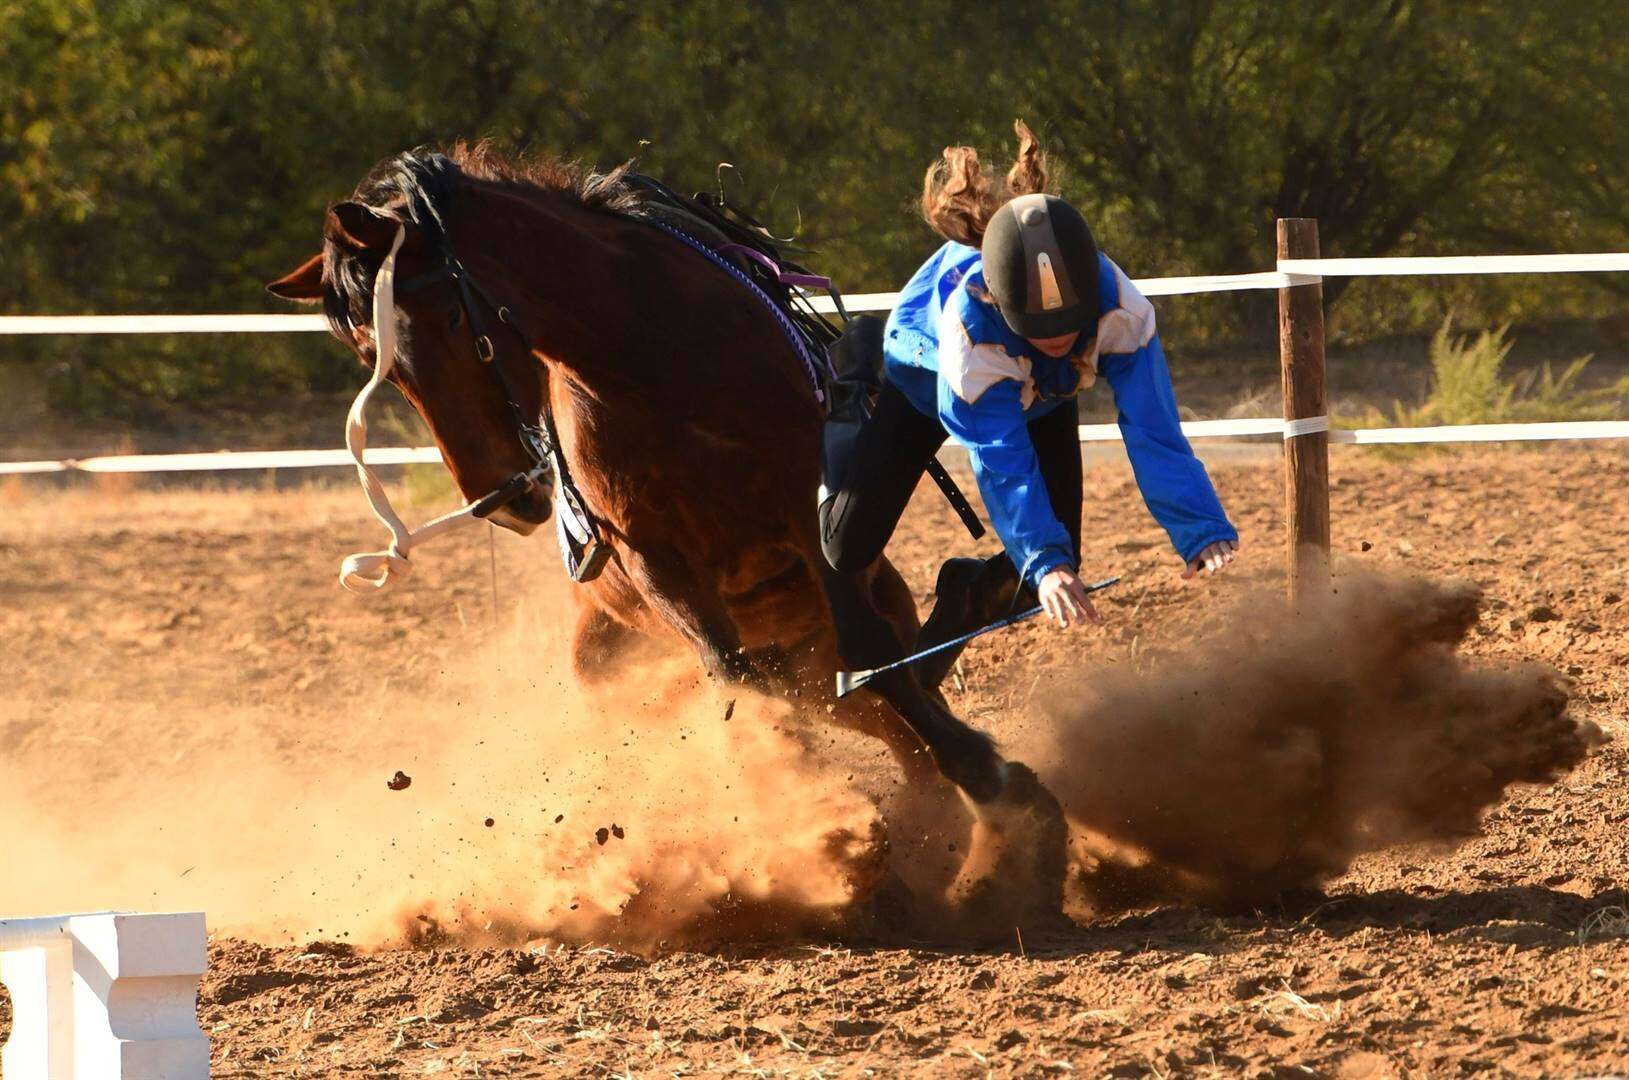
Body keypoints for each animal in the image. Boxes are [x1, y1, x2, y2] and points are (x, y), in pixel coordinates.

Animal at [268, 141, 1068, 918]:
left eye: (448, 319)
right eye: (376, 362)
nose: (500, 497)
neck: (649, 358)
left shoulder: (809, 514)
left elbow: (873, 658)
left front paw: (997, 784)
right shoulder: (655, 558)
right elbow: (742, 681)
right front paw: (827, 831)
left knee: (900, 673)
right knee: (856, 697)